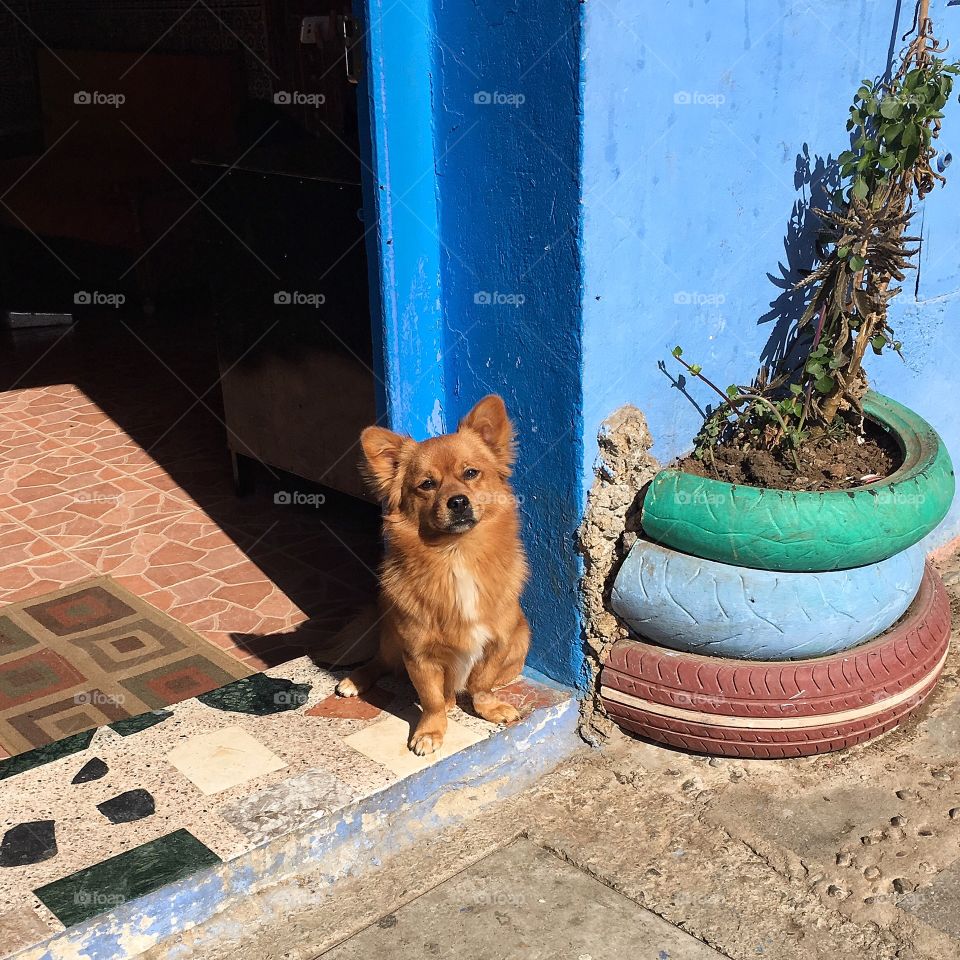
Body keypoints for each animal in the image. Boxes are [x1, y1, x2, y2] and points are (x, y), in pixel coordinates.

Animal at [336, 394, 532, 752]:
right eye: (426, 485)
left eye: (471, 473)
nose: (458, 501)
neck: (456, 556)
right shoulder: (417, 654)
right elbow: (431, 699)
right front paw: (431, 730)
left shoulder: (499, 641)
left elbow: (481, 682)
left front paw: (487, 707)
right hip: (391, 637)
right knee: (380, 660)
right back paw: (356, 680)